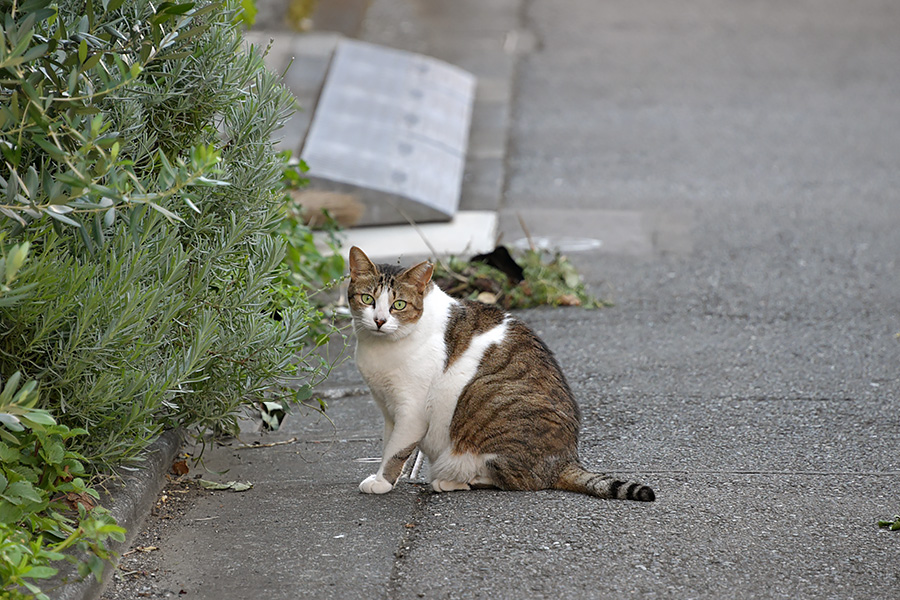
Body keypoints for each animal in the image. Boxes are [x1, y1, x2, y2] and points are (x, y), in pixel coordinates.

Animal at [346, 244, 652, 502]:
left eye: (399, 305)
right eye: (367, 299)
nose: (379, 320)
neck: (381, 348)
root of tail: (566, 459)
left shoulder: (411, 410)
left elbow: (396, 450)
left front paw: (382, 482)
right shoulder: (388, 408)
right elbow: (388, 444)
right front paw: (383, 477)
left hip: (486, 402)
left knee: (517, 481)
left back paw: (452, 480)